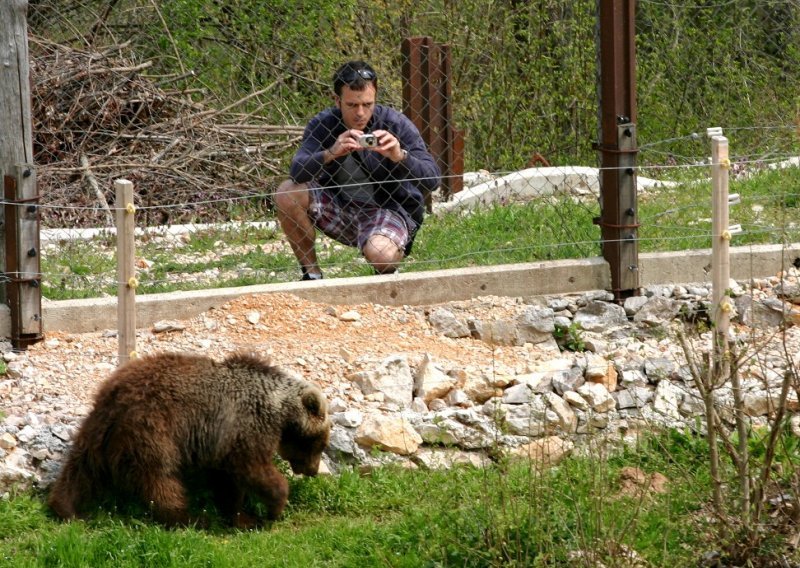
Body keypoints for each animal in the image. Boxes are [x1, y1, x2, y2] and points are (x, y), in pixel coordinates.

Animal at [47, 350, 330, 528]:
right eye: (320, 443)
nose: (313, 471)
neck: (278, 409)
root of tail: (116, 397)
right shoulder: (247, 427)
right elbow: (252, 468)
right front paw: (274, 507)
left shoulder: (222, 441)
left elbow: (227, 481)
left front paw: (240, 516)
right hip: (153, 428)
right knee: (160, 477)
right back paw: (188, 517)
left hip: (97, 429)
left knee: (81, 467)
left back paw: (65, 507)